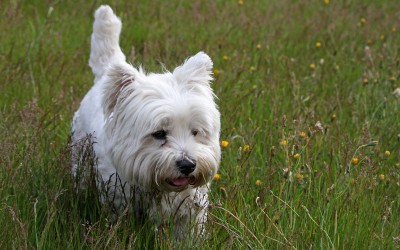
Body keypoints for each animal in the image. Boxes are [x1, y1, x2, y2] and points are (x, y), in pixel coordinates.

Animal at [72, 4, 222, 237]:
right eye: (159, 133)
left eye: (196, 132)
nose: (188, 165)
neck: (160, 189)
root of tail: (106, 72)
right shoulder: (119, 205)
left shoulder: (190, 213)